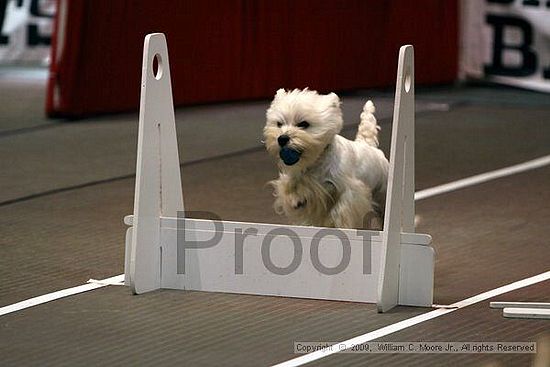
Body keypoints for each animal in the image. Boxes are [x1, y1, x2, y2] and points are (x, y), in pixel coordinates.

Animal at [264, 88, 390, 230]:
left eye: (304, 124)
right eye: (279, 124)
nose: (282, 139)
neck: (317, 161)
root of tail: (368, 145)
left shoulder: (349, 190)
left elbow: (341, 211)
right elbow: (292, 188)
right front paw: (296, 198)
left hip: (382, 191)